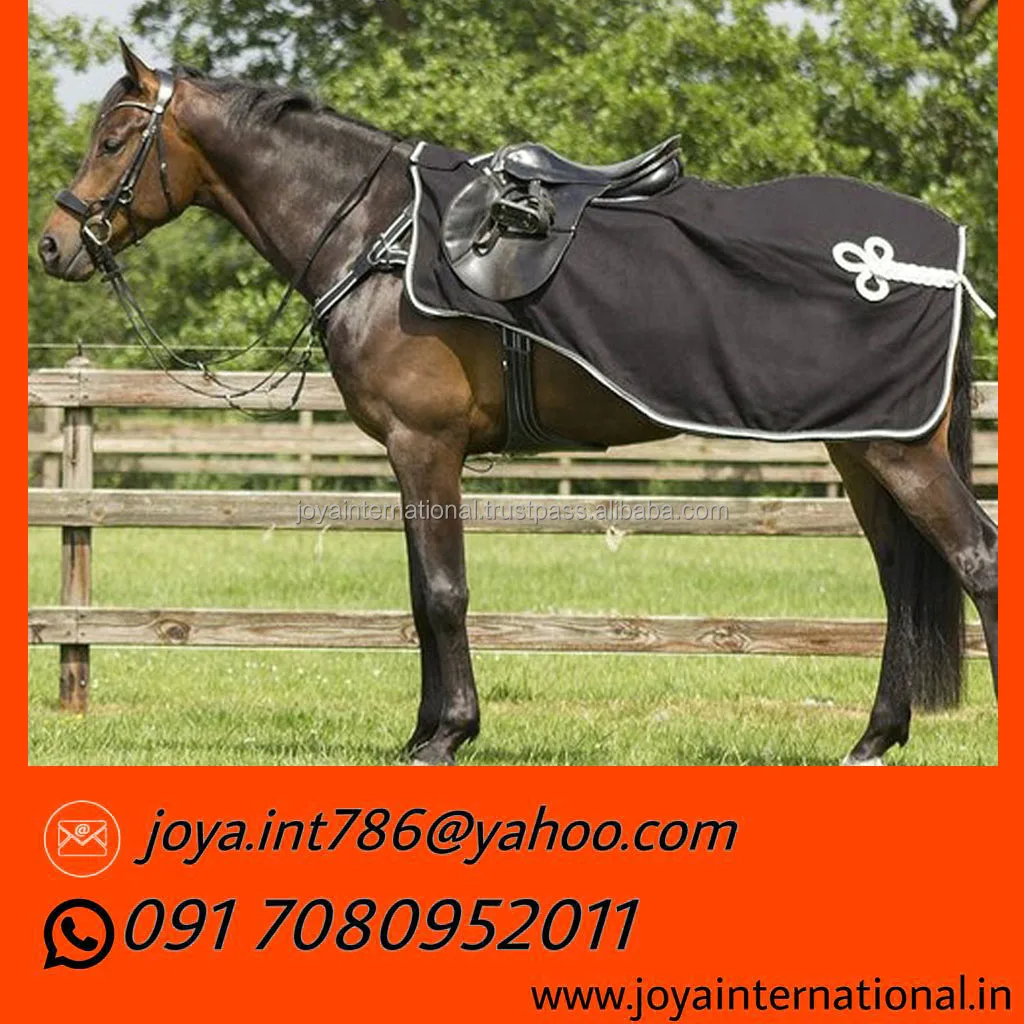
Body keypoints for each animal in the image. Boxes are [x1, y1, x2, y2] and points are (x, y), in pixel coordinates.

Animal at [38, 42, 998, 766]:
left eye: (116, 138)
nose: (53, 244)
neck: (380, 234)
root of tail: (936, 254)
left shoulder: (424, 445)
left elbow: (444, 592)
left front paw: (447, 737)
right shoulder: (410, 456)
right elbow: (420, 594)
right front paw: (425, 731)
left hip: (899, 451)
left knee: (977, 560)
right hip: (862, 445)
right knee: (900, 576)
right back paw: (874, 740)